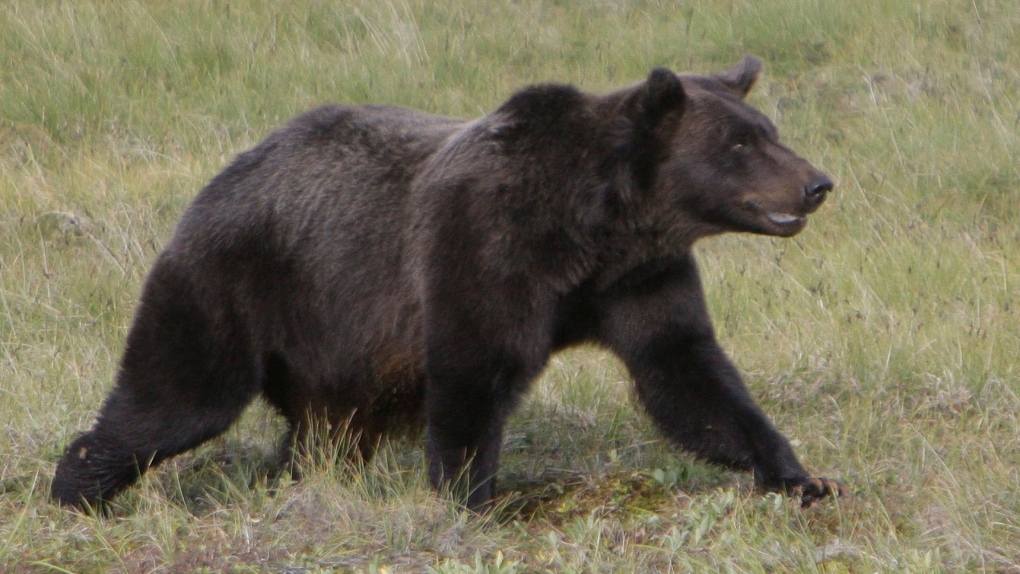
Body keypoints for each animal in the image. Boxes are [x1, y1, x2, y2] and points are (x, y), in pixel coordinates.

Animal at [49, 56, 844, 509]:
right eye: (740, 143)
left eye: (768, 129)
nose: (817, 183)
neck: (594, 228)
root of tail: (220, 176)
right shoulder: (485, 246)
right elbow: (473, 371)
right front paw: (473, 501)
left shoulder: (639, 280)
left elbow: (688, 374)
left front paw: (801, 475)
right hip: (239, 283)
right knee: (177, 395)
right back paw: (79, 488)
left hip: (337, 349)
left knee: (323, 433)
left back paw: (297, 479)